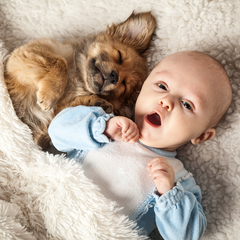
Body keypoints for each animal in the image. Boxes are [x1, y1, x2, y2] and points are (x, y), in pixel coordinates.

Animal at [4, 12, 157, 150]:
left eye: (124, 85)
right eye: (119, 57)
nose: (114, 77)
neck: (78, 78)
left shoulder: (51, 122)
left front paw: (93, 102)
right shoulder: (22, 56)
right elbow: (60, 62)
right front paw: (50, 95)